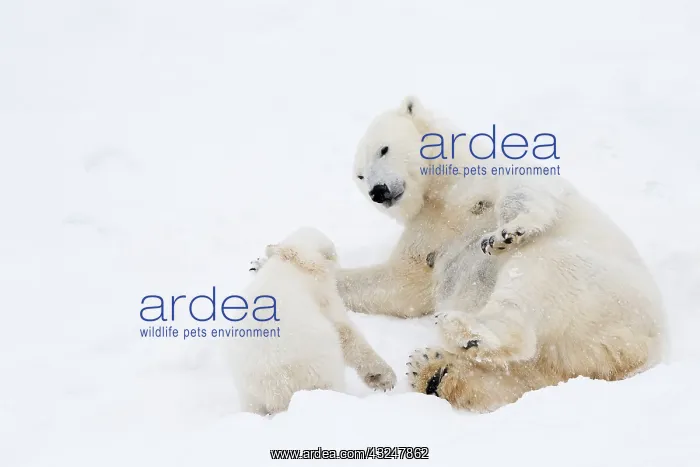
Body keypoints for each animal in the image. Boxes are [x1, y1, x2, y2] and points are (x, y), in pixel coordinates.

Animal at [228, 227, 396, 415]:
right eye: (334, 252)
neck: (295, 260)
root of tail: (277, 391)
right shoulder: (323, 293)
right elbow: (344, 331)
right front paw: (383, 377)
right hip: (317, 367)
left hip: (250, 394)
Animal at [336, 97, 667, 412]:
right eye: (360, 176)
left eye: (383, 149)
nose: (378, 191)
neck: (440, 193)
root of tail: (635, 351)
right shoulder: (425, 230)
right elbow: (402, 283)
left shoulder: (486, 177)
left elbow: (524, 191)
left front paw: (507, 233)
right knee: (519, 375)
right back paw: (432, 372)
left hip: (592, 283)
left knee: (529, 286)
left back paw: (461, 331)